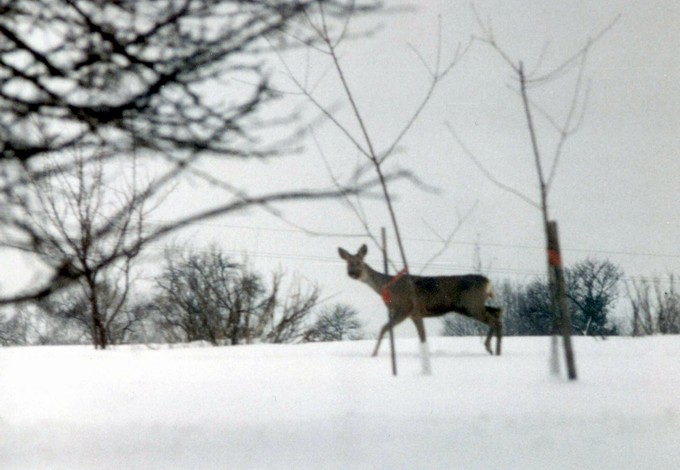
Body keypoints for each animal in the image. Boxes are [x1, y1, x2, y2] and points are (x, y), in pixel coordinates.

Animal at [338, 246, 502, 356]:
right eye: (348, 263)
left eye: (359, 262)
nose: (352, 273)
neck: (387, 287)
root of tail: (487, 281)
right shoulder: (415, 314)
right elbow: (422, 337)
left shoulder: (404, 308)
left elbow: (384, 328)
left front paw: (373, 354)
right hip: (474, 305)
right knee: (498, 312)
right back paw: (493, 349)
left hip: (471, 304)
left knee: (495, 319)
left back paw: (493, 349)